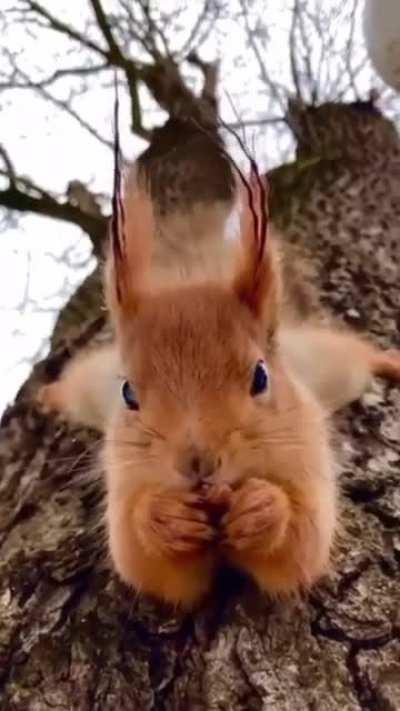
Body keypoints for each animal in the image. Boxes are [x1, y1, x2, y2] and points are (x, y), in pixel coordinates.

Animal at [38, 161, 400, 608]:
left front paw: (261, 508)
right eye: (128, 393)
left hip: (333, 364)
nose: (197, 464)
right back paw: (48, 394)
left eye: (261, 376)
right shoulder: (123, 475)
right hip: (91, 384)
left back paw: (390, 360)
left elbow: (304, 540)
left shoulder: (306, 450)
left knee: (358, 355)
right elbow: (139, 556)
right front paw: (165, 517)